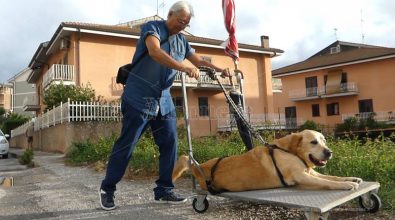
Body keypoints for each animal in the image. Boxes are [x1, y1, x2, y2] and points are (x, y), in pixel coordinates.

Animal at [172, 130, 364, 192]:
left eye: (324, 140)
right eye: (313, 142)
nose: (329, 152)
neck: (290, 151)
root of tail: (198, 166)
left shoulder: (310, 172)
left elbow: (332, 177)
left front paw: (352, 179)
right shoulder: (301, 176)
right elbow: (329, 182)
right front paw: (346, 185)